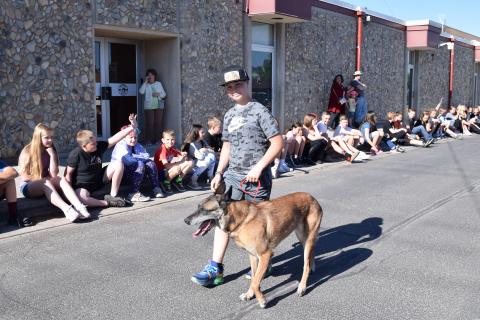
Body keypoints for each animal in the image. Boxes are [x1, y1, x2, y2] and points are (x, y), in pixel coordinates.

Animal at [184, 189, 322, 308]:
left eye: (204, 210)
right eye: (198, 207)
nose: (186, 220)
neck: (240, 219)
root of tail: (312, 197)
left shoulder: (265, 255)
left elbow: (256, 282)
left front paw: (262, 300)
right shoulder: (253, 256)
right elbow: (254, 278)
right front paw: (249, 295)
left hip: (308, 239)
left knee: (306, 265)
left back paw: (302, 287)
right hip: (303, 238)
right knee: (311, 254)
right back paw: (313, 266)